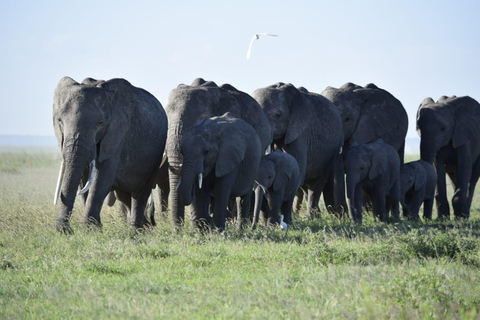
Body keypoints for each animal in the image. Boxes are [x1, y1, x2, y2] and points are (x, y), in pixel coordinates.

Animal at [52, 77, 168, 232]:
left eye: (100, 123)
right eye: (60, 121)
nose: (63, 227)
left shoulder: (116, 135)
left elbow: (102, 178)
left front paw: (89, 229)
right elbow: (83, 180)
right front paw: (92, 229)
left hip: (156, 156)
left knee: (141, 192)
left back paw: (136, 231)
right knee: (124, 195)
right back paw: (146, 229)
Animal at [253, 82, 344, 219]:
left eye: (278, 115)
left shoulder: (300, 132)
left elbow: (298, 171)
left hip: (332, 150)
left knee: (316, 185)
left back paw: (311, 218)